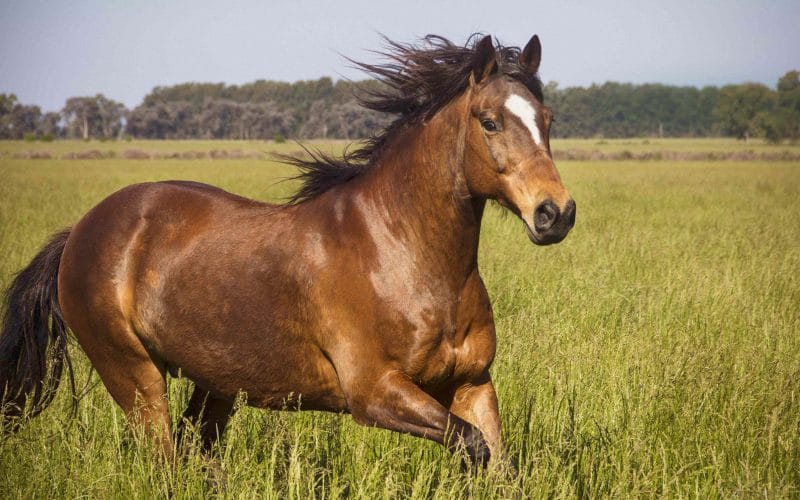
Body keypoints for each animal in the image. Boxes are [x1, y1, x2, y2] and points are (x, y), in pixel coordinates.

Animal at [0, 33, 576, 466]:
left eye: (548, 120)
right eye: (489, 121)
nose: (556, 214)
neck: (405, 256)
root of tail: (79, 232)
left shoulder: (472, 382)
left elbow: (495, 460)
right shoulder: (375, 392)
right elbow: (471, 446)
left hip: (216, 385)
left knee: (195, 456)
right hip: (135, 376)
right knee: (163, 459)